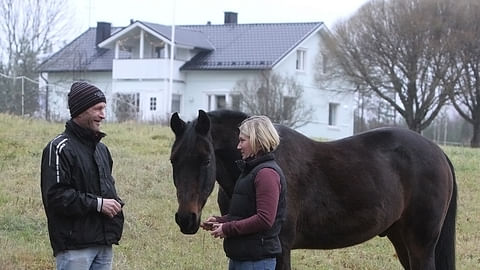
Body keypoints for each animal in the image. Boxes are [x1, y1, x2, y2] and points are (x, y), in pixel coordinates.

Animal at [170, 109, 458, 270]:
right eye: (174, 160)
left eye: (205, 160)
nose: (186, 219)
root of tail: (439, 153)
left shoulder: (281, 249)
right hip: (401, 239)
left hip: (421, 244)